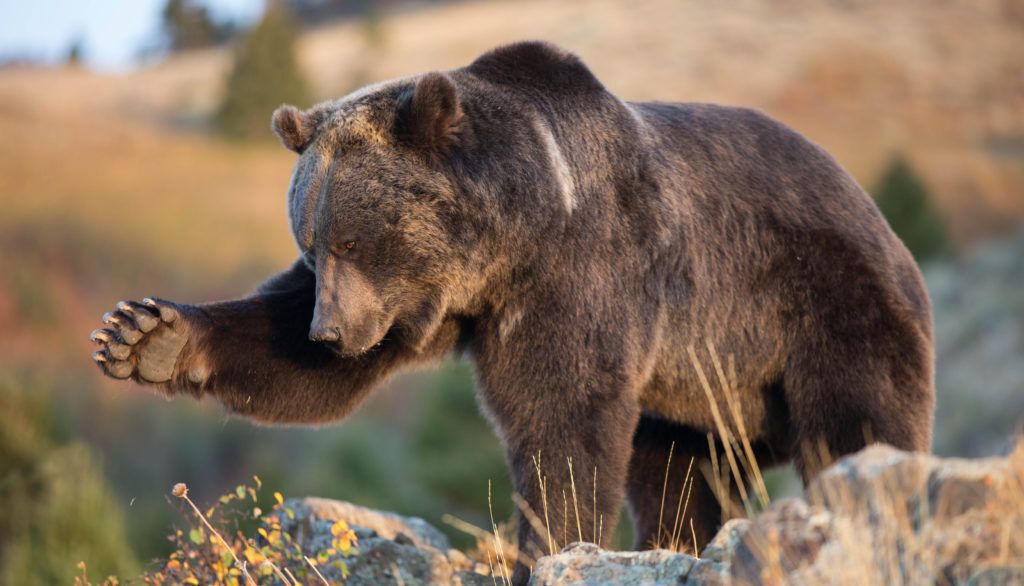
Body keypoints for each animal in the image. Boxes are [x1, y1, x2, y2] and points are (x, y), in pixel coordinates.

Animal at [90, 41, 934, 583]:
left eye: (355, 238)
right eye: (312, 240)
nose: (328, 334)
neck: (508, 242)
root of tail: (881, 219)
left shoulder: (581, 274)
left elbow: (562, 418)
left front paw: (551, 545)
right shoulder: (432, 306)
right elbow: (291, 358)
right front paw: (143, 335)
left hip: (819, 310)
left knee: (858, 425)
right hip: (698, 391)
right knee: (680, 475)